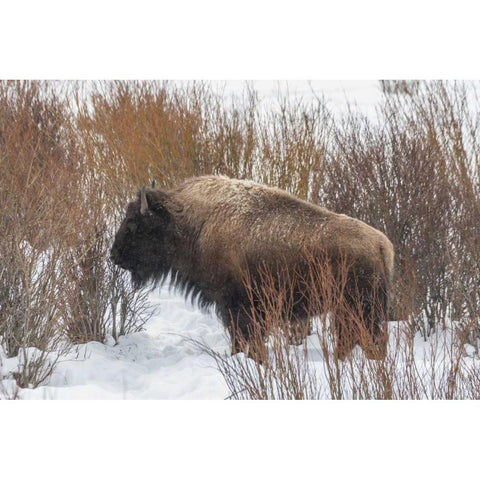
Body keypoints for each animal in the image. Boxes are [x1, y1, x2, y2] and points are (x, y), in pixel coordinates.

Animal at [111, 176, 394, 360]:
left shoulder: (238, 308)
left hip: (358, 311)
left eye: (133, 223)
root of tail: (382, 245)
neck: (192, 223)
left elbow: (243, 338)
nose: (114, 255)